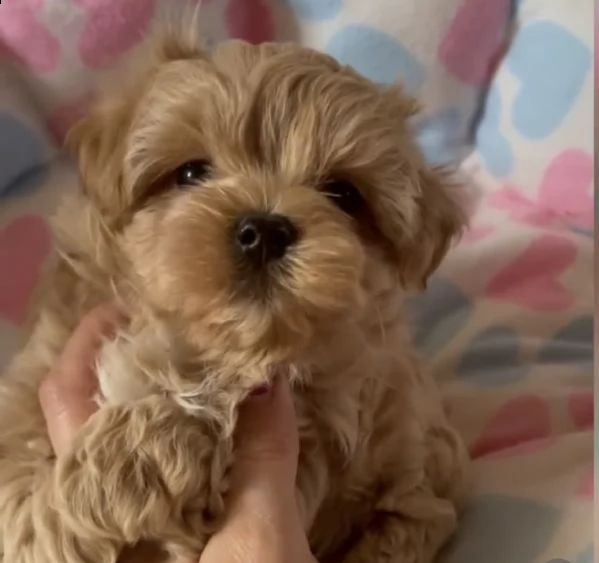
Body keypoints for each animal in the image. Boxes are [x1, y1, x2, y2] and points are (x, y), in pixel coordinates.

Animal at [0, 19, 472, 563]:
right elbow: (18, 481)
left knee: (420, 516)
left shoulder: (330, 409)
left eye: (344, 195)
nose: (264, 230)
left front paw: (124, 460)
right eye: (190, 172)